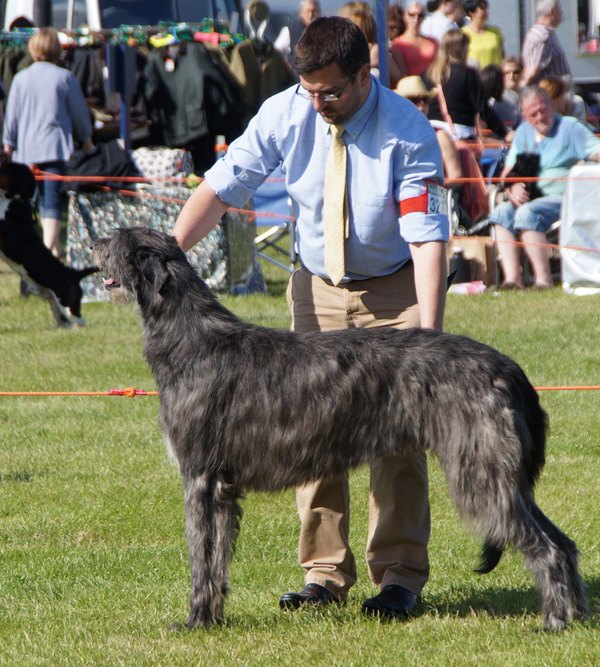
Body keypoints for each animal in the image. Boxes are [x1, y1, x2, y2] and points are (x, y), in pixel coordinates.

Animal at [0, 162, 95, 328]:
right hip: (55, 305)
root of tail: (75, 274)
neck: (18, 202)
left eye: (5, 168)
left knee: (80, 322)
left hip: (67, 305)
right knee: (64, 322)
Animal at [92, 227, 584, 636]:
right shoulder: (222, 489)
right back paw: (577, 614)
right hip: (503, 472)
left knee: (544, 546)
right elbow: (217, 561)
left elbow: (201, 558)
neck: (193, 338)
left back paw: (554, 622)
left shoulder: (201, 479)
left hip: (480, 469)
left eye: (116, 240)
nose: (93, 244)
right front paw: (213, 617)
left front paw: (195, 621)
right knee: (563, 541)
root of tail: (509, 369)